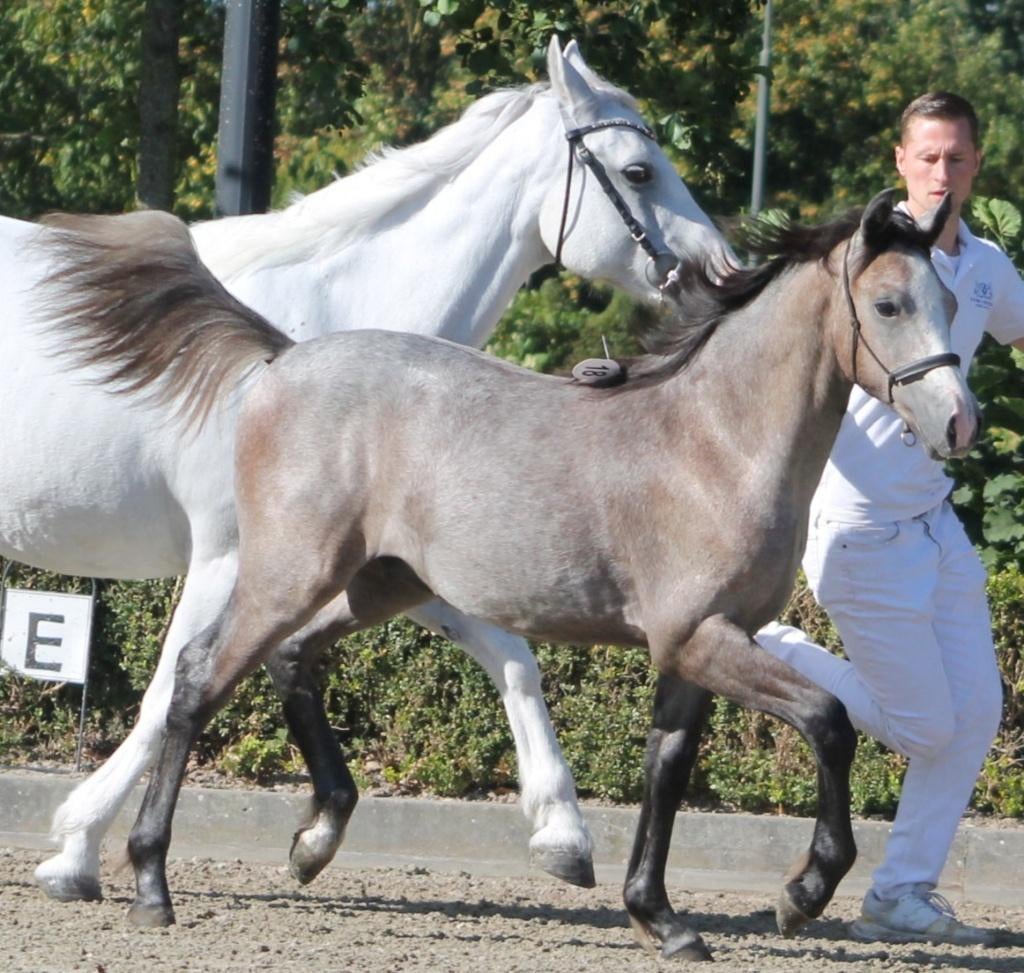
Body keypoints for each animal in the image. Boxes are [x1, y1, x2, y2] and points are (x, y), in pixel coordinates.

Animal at [1, 37, 730, 902]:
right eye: (638, 170)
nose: (719, 268)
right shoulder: (231, 555)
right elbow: (170, 692)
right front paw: (76, 847)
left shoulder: (390, 556)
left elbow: (511, 655)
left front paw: (561, 832)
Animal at [34, 188, 977, 959]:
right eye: (889, 303)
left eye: (953, 300)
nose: (958, 422)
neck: (714, 441)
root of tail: (279, 359)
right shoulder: (701, 638)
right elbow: (830, 722)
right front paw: (802, 891)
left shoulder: (697, 648)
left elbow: (666, 770)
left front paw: (661, 917)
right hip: (287, 573)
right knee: (198, 679)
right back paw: (149, 883)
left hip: (379, 583)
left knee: (289, 658)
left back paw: (314, 839)